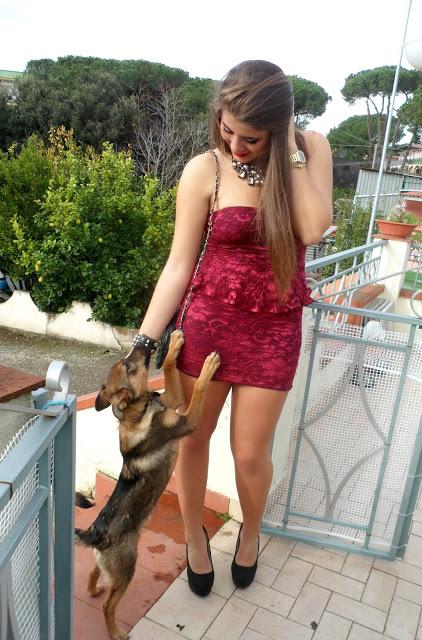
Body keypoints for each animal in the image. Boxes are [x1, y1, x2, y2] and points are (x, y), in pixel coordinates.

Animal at [75, 330, 221, 640]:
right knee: (108, 605)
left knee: (94, 572)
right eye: (130, 366)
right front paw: (208, 367)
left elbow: (170, 371)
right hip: (127, 568)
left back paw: (93, 590)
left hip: (111, 565)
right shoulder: (188, 420)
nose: (146, 344)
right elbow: (199, 389)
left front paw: (174, 347)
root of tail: (94, 535)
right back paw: (116, 632)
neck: (138, 411)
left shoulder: (174, 398)